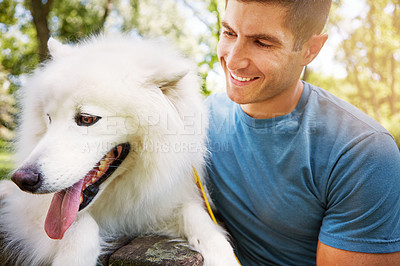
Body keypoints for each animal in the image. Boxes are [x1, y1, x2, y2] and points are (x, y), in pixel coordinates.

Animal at [0, 35, 239, 266]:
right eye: (49, 118)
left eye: (86, 119)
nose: (22, 179)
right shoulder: (31, 211)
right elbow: (80, 226)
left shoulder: (167, 201)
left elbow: (201, 221)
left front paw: (223, 256)